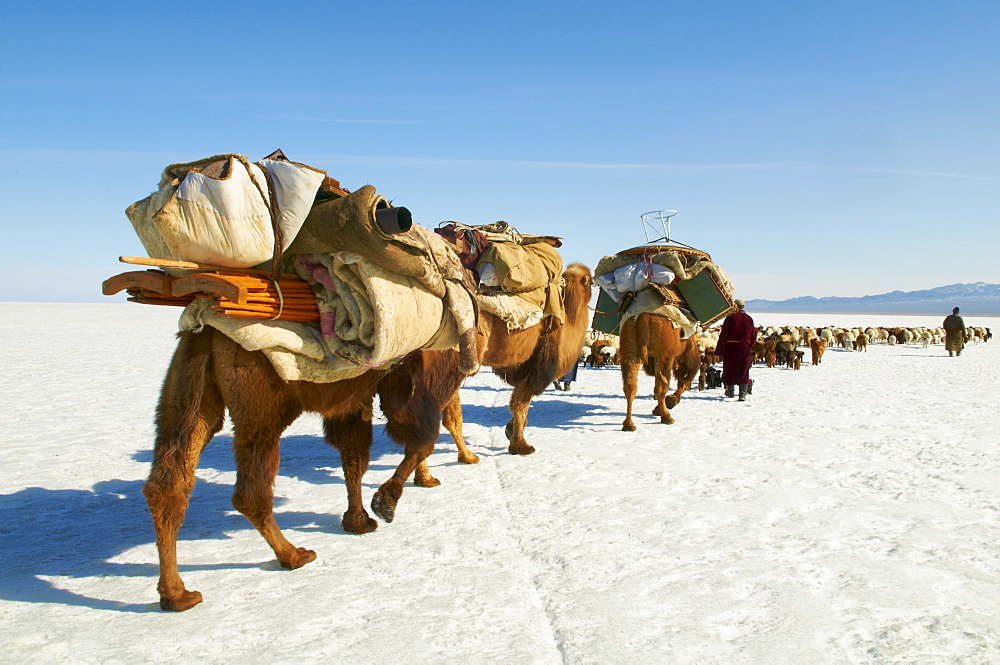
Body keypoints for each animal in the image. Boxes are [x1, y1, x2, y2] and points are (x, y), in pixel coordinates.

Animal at [143, 330, 466, 608]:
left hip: (189, 389)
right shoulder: (423, 377)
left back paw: (175, 595)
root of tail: (206, 331)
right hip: (261, 401)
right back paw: (293, 555)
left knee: (168, 483)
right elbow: (424, 439)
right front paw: (387, 500)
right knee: (250, 492)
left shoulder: (356, 398)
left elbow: (355, 457)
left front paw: (358, 520)